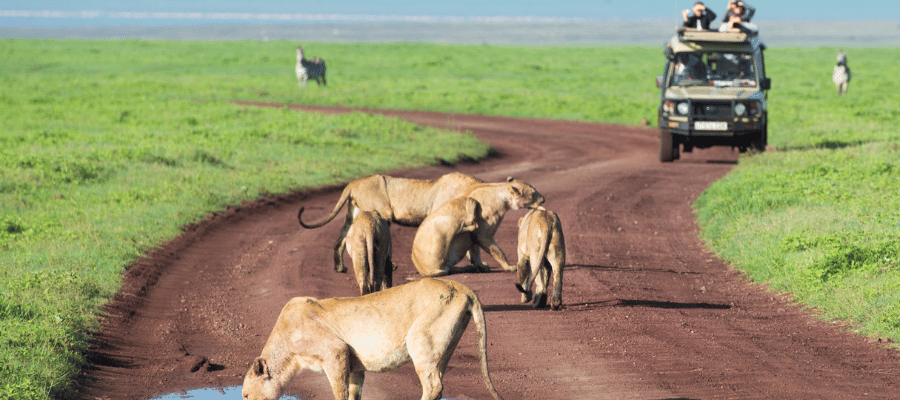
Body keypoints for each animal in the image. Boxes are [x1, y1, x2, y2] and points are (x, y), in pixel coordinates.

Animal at [243, 278, 502, 400]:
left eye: (245, 395)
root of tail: (460, 285)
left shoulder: (335, 351)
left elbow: (339, 393)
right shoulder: (354, 364)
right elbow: (353, 393)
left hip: (420, 339)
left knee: (433, 386)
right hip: (444, 348)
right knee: (437, 384)